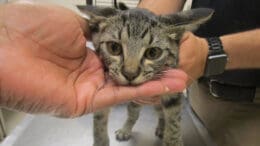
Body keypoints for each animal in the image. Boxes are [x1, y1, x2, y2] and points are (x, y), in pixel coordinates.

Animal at [79, 4, 213, 146]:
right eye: (114, 47)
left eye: (153, 53)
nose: (130, 74)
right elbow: (99, 120)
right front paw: (101, 140)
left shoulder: (173, 94)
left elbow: (174, 122)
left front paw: (173, 141)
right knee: (136, 112)